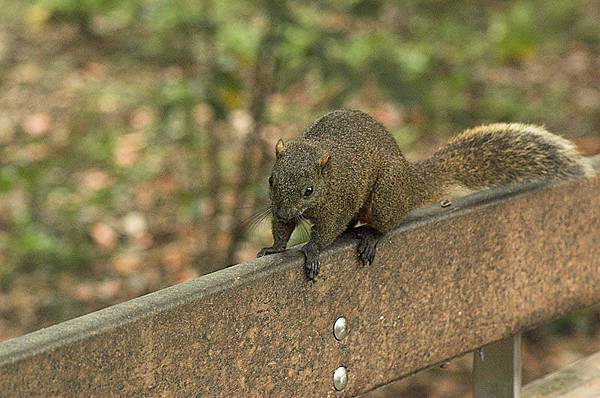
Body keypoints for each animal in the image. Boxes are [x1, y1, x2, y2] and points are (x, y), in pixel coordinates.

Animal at [255, 109, 592, 280]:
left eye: (308, 190)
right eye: (271, 180)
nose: (283, 211)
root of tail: (409, 184)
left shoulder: (339, 202)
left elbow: (327, 230)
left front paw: (312, 250)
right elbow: (283, 230)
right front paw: (274, 248)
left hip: (385, 196)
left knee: (384, 224)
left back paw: (370, 236)